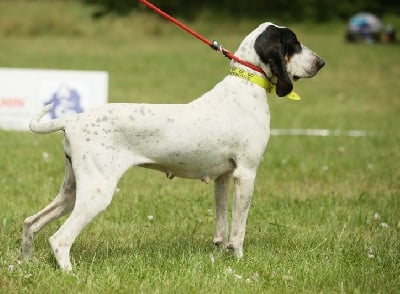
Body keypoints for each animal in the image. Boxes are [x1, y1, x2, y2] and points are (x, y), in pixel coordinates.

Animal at [20, 22, 324, 272]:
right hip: (96, 193)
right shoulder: (246, 174)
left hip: (72, 192)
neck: (246, 84)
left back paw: (24, 265)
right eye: (294, 42)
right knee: (59, 238)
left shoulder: (223, 177)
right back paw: (70, 273)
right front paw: (238, 260)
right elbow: (238, 230)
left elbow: (221, 226)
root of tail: (73, 119)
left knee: (31, 223)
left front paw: (219, 256)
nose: (321, 62)